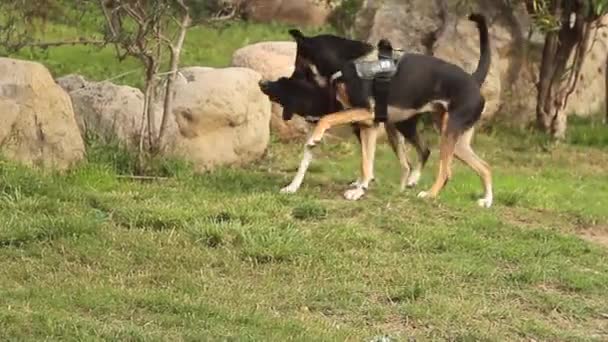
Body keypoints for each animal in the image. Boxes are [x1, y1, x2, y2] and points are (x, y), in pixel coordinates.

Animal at [258, 67, 430, 195]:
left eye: (280, 83)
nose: (261, 81)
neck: (318, 98)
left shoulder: (366, 127)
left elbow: (365, 161)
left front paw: (361, 187)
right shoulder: (313, 138)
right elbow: (303, 164)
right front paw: (292, 187)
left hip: (404, 127)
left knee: (424, 151)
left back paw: (412, 180)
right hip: (394, 134)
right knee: (406, 164)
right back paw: (400, 190)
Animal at [280, 13, 494, 206]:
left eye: (298, 65)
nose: (287, 84)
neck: (348, 63)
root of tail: (474, 80)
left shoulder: (367, 113)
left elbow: (328, 119)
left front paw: (316, 138)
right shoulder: (368, 125)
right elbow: (366, 163)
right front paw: (360, 190)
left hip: (445, 134)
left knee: (445, 170)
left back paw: (429, 195)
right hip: (452, 140)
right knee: (484, 167)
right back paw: (487, 200)